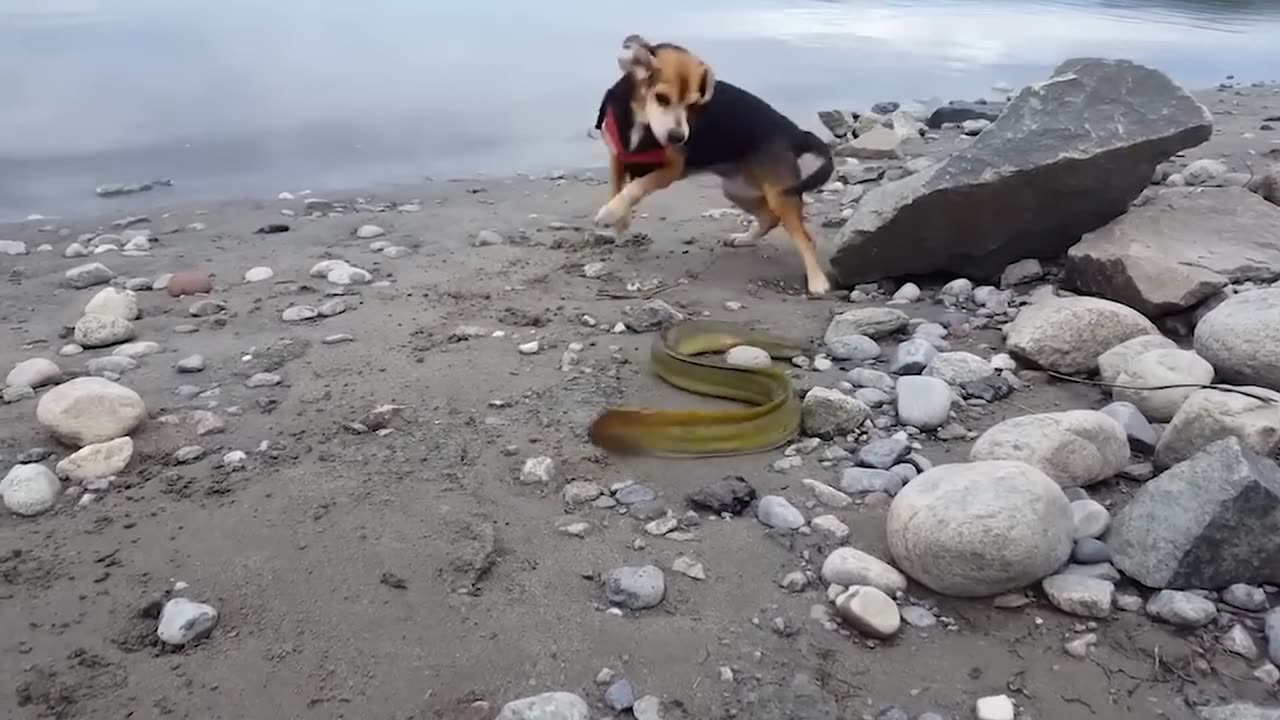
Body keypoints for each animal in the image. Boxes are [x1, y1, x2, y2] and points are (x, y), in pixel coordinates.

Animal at [591, 35, 839, 293]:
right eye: (661, 98)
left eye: (693, 105)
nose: (679, 137)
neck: (641, 123)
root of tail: (795, 132)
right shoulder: (616, 157)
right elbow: (617, 188)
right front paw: (619, 217)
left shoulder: (671, 169)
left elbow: (637, 186)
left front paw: (610, 212)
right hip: (737, 189)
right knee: (770, 218)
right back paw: (744, 239)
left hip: (780, 194)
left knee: (804, 238)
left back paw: (817, 281)